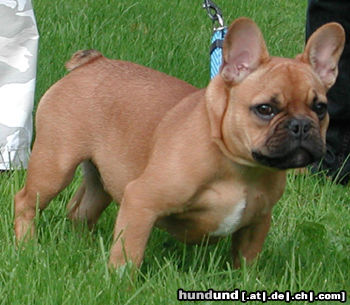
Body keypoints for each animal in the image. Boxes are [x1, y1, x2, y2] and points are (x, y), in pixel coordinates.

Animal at [14, 17, 344, 268]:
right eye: (265, 109)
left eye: (320, 108)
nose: (301, 125)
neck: (239, 166)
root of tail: (93, 62)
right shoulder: (141, 201)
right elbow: (128, 254)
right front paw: (120, 286)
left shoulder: (258, 222)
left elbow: (245, 260)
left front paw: (244, 284)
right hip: (55, 165)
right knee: (26, 201)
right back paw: (27, 245)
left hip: (103, 177)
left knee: (81, 210)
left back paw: (82, 245)